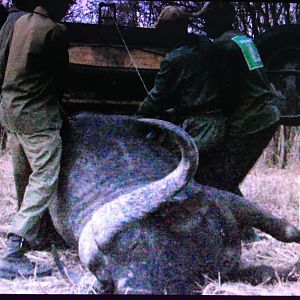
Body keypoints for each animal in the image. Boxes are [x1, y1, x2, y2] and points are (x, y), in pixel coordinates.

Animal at [48, 112, 300, 292]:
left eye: (136, 243)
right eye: (104, 275)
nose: (134, 290)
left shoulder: (226, 200)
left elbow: (286, 229)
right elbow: (264, 271)